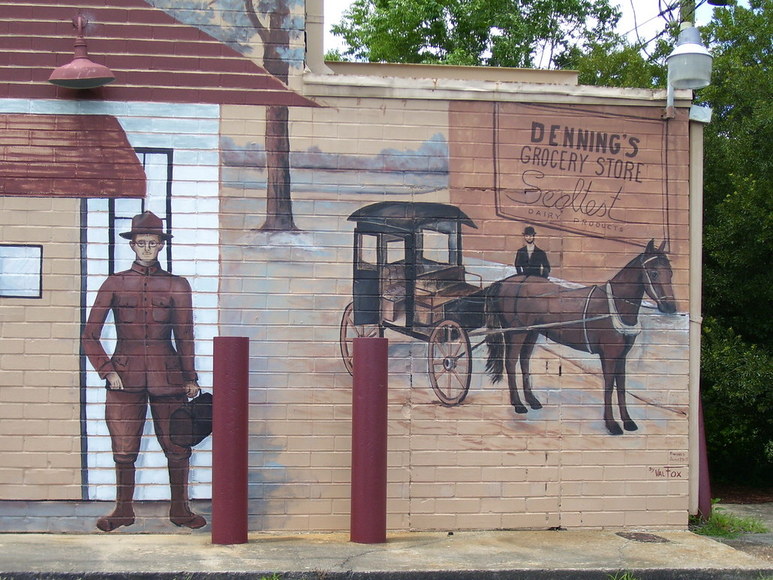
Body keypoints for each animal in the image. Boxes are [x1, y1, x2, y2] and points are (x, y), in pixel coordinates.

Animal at [486, 240, 672, 436]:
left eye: (670, 272)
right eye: (654, 272)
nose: (670, 306)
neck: (614, 306)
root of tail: (504, 282)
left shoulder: (621, 356)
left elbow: (621, 387)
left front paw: (628, 421)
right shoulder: (608, 356)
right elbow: (609, 386)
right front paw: (612, 424)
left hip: (531, 332)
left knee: (524, 360)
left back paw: (532, 400)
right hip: (516, 333)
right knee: (510, 362)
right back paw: (518, 404)